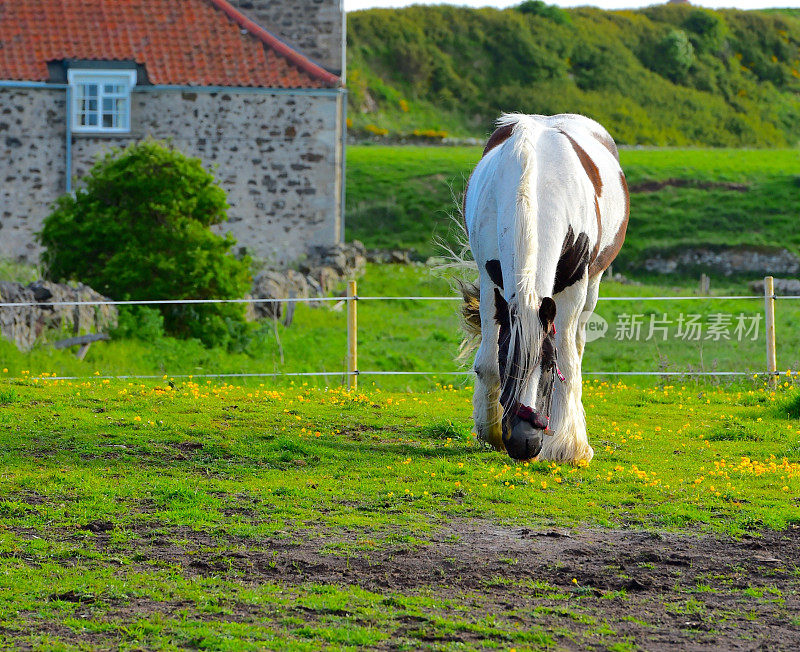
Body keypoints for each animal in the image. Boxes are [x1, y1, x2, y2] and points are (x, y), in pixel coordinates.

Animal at [460, 113, 628, 464]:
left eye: (549, 365)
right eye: (507, 362)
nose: (524, 442)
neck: (536, 186)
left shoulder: (574, 288)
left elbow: (569, 360)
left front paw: (569, 447)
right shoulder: (489, 280)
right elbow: (487, 358)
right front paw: (489, 431)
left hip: (592, 286)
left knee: (577, 345)